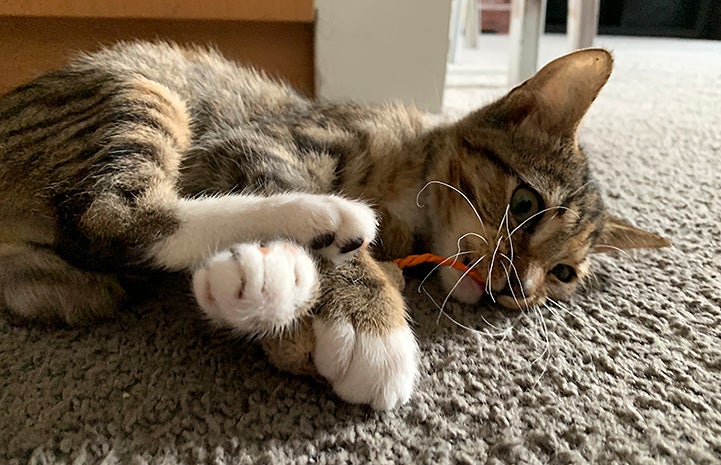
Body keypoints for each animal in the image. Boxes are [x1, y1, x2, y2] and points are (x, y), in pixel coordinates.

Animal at [0, 41, 668, 408]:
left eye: (563, 274)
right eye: (526, 204)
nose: (515, 290)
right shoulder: (256, 143)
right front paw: (371, 326)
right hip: (142, 93)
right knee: (115, 217)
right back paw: (321, 217)